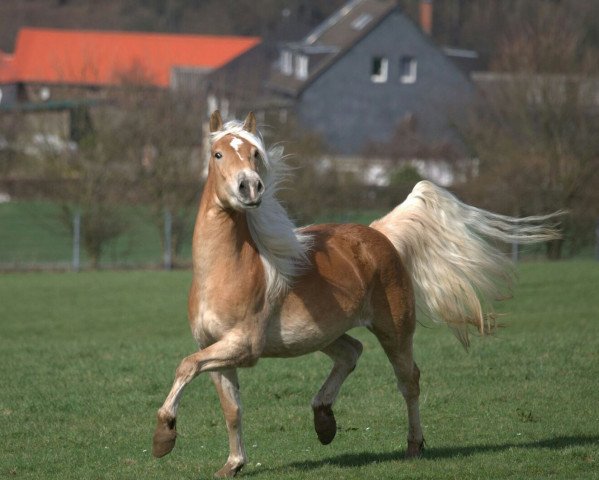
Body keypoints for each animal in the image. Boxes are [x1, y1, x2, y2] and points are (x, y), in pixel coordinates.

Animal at [151, 111, 564, 476]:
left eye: (255, 153)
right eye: (218, 154)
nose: (250, 187)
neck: (225, 272)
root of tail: (380, 234)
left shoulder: (243, 346)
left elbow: (186, 365)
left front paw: (163, 436)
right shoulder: (216, 347)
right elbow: (231, 408)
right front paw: (232, 464)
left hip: (394, 330)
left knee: (408, 379)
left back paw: (413, 446)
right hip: (321, 333)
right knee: (352, 352)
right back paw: (323, 420)